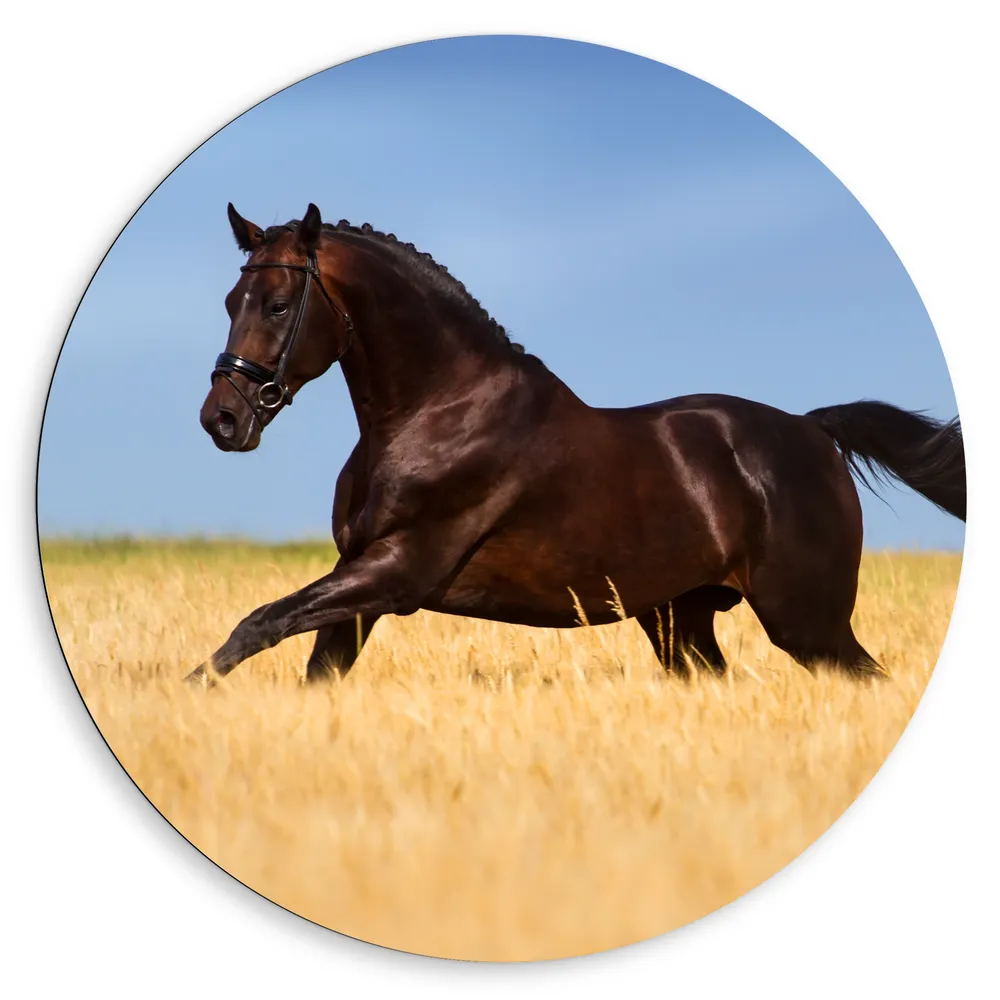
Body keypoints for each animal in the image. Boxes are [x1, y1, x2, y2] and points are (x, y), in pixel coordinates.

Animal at [188, 202, 965, 685]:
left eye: (278, 305)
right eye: (229, 303)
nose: (221, 419)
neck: (436, 412)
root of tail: (812, 429)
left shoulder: (396, 571)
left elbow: (254, 627)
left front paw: (190, 692)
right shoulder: (361, 582)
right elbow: (309, 668)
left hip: (807, 619)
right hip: (681, 618)